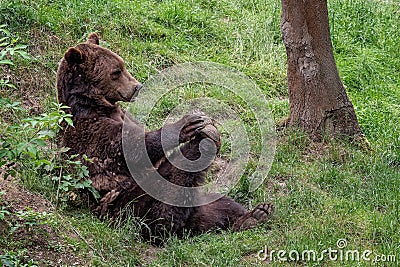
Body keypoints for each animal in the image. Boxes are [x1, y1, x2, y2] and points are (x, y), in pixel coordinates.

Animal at [57, 33, 274, 245]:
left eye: (122, 65)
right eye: (116, 72)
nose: (137, 87)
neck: (96, 105)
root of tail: (188, 225)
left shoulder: (123, 117)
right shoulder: (90, 133)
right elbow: (130, 147)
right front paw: (186, 123)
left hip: (201, 204)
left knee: (222, 205)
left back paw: (255, 214)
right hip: (128, 204)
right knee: (165, 197)